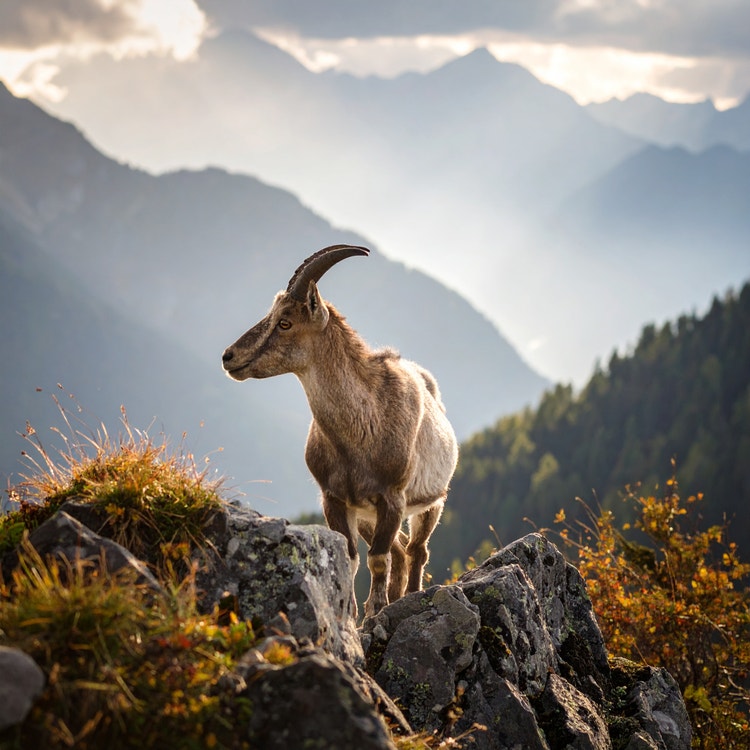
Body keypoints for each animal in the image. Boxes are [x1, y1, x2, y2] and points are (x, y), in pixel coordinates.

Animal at [221, 245, 458, 618]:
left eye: (285, 322)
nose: (229, 357)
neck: (360, 432)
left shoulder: (392, 498)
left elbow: (378, 559)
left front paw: (374, 610)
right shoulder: (334, 498)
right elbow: (349, 559)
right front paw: (352, 613)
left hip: (431, 502)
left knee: (416, 550)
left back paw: (412, 595)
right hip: (366, 515)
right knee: (401, 550)